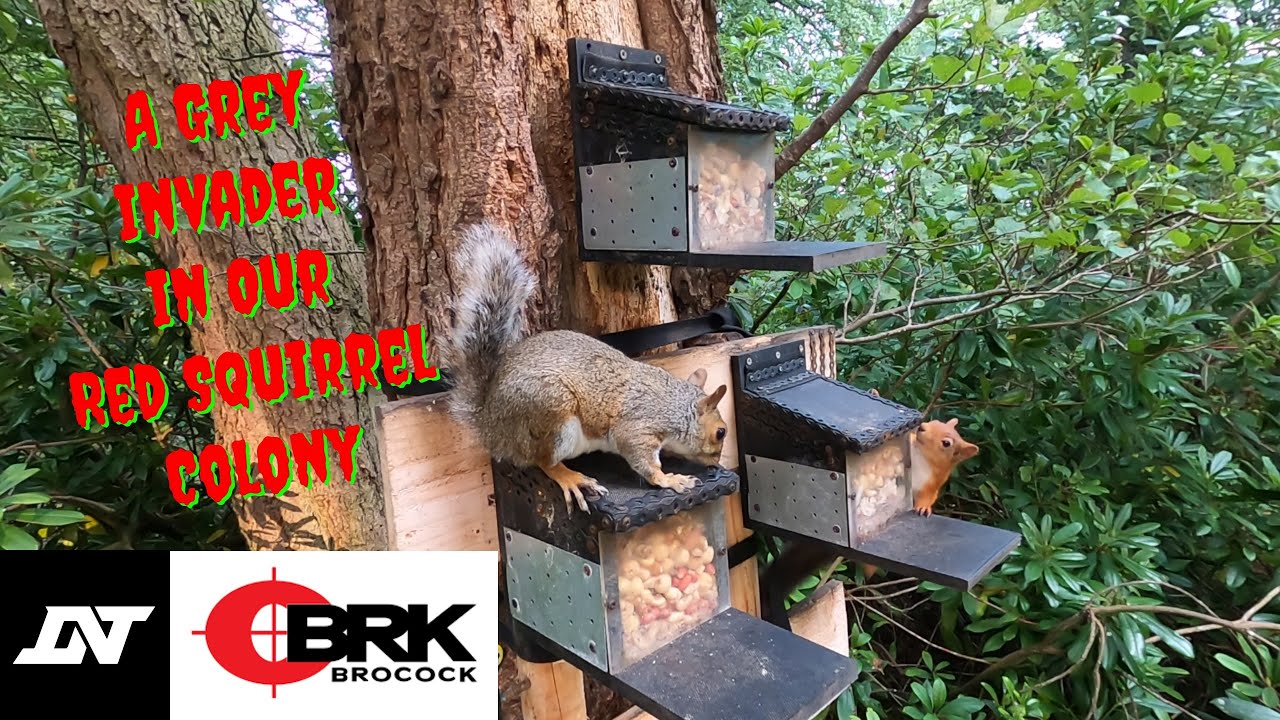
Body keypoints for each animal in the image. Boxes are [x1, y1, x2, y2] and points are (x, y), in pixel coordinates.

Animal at [441, 223, 731, 513]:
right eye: (721, 432)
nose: (716, 463)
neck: (676, 407)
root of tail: (490, 425)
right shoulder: (638, 427)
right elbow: (643, 460)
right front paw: (670, 480)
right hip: (550, 409)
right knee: (543, 461)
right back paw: (570, 477)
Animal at [759, 411, 979, 629]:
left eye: (946, 443)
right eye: (935, 422)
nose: (922, 427)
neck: (920, 458)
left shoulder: (932, 483)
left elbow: (928, 496)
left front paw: (924, 507)